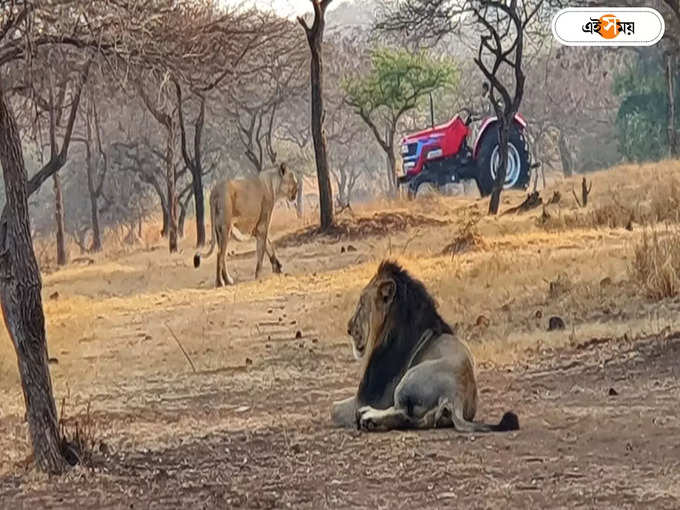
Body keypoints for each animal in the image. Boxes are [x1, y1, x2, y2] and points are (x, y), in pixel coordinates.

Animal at [332, 260, 516, 432]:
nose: (348, 329)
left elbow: (333, 409)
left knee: (401, 410)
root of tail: (456, 395)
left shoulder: (368, 398)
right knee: (414, 419)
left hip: (409, 378)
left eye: (361, 304)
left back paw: (368, 416)